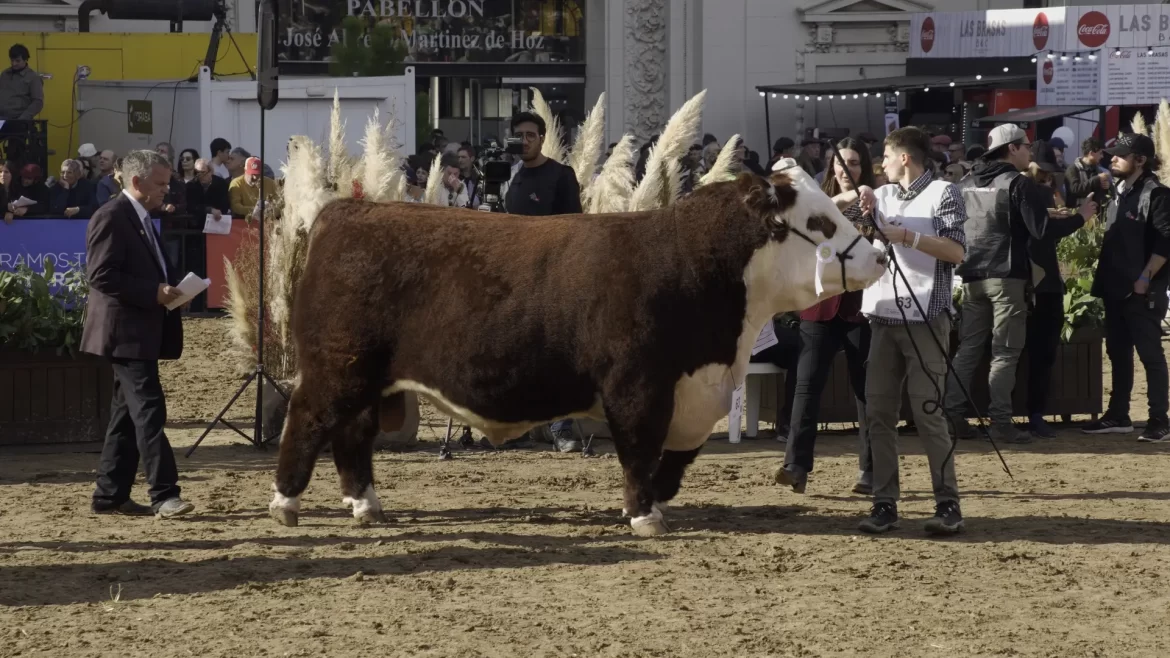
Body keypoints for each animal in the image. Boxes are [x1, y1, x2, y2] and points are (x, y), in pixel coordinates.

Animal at [269, 162, 879, 533]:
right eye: (819, 222)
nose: (874, 257)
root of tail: (345, 212)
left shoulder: (695, 392)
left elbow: (675, 460)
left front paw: (657, 503)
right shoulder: (638, 387)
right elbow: (639, 451)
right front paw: (644, 517)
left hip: (366, 378)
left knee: (353, 435)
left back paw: (366, 506)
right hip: (335, 368)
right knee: (308, 421)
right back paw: (285, 503)